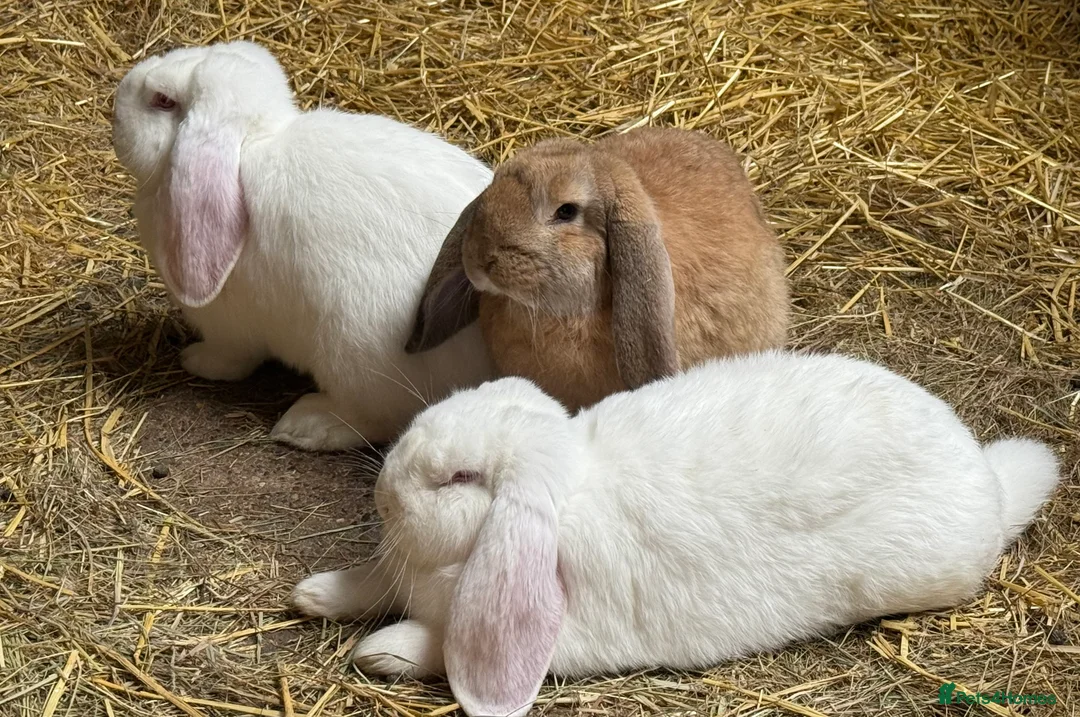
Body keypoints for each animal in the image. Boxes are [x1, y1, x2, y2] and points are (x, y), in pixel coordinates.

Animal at [111, 40, 496, 451]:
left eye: (162, 100)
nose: (115, 107)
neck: (251, 145)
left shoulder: (228, 328)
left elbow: (230, 358)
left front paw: (194, 360)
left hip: (352, 351)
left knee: (380, 419)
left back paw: (307, 423)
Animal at [291, 349, 1061, 717]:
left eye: (460, 478)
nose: (385, 490)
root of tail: (988, 482)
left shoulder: (550, 636)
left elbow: (443, 647)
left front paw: (380, 651)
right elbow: (368, 582)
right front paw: (315, 594)